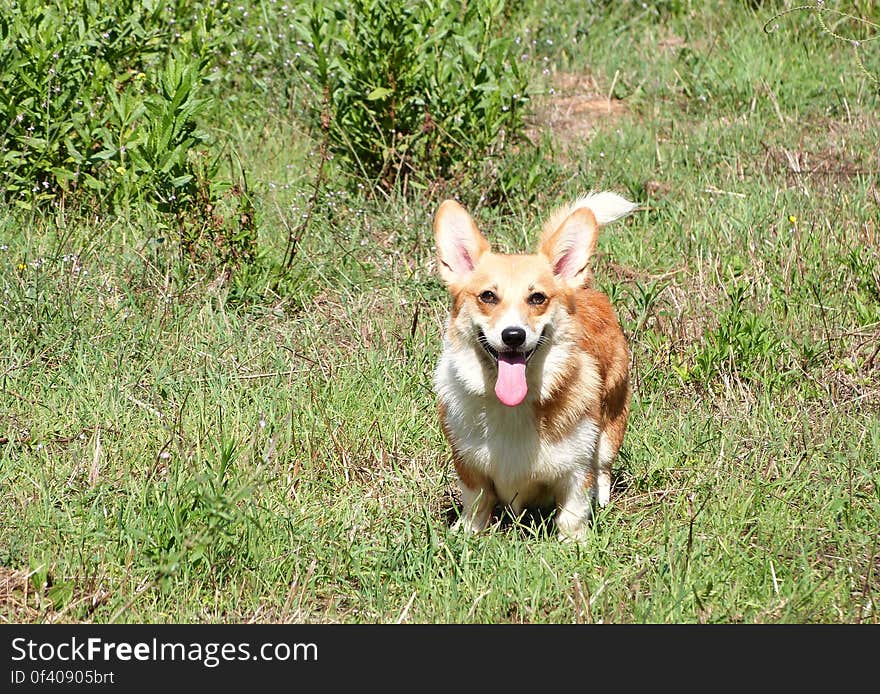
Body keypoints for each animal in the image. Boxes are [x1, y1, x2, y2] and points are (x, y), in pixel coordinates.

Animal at [434, 192, 636, 544]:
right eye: (488, 296)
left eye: (537, 298)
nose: (513, 335)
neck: (512, 407)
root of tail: (583, 288)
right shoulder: (469, 465)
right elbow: (477, 504)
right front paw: (467, 534)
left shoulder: (576, 471)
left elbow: (572, 514)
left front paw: (575, 544)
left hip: (610, 428)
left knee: (603, 470)